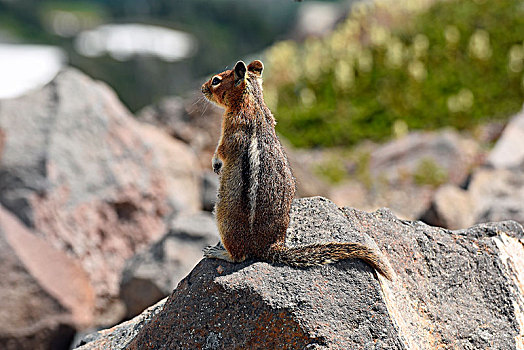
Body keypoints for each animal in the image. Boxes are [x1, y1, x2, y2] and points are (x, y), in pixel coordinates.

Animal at [201, 58, 392, 280]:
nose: (203, 88)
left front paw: (215, 163)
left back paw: (218, 252)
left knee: (239, 256)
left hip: (224, 217)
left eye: (216, 80)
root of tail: (270, 247)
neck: (253, 100)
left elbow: (221, 150)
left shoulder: (232, 129)